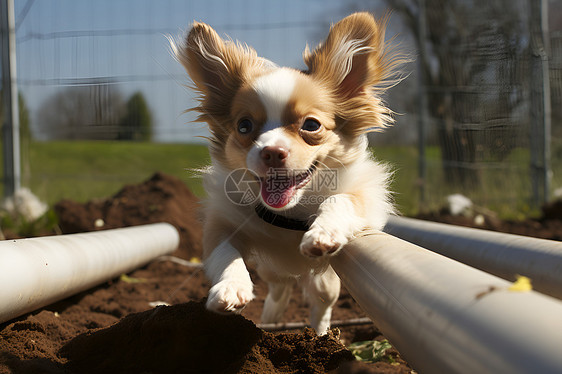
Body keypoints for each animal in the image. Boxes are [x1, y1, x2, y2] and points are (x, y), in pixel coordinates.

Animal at [173, 10, 396, 334]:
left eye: (311, 125)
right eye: (244, 126)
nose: (271, 151)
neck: (289, 213)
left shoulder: (365, 200)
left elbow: (340, 200)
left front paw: (324, 232)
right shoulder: (221, 226)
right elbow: (225, 254)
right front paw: (231, 287)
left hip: (325, 281)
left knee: (321, 302)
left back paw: (321, 336)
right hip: (271, 268)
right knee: (279, 286)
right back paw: (271, 316)